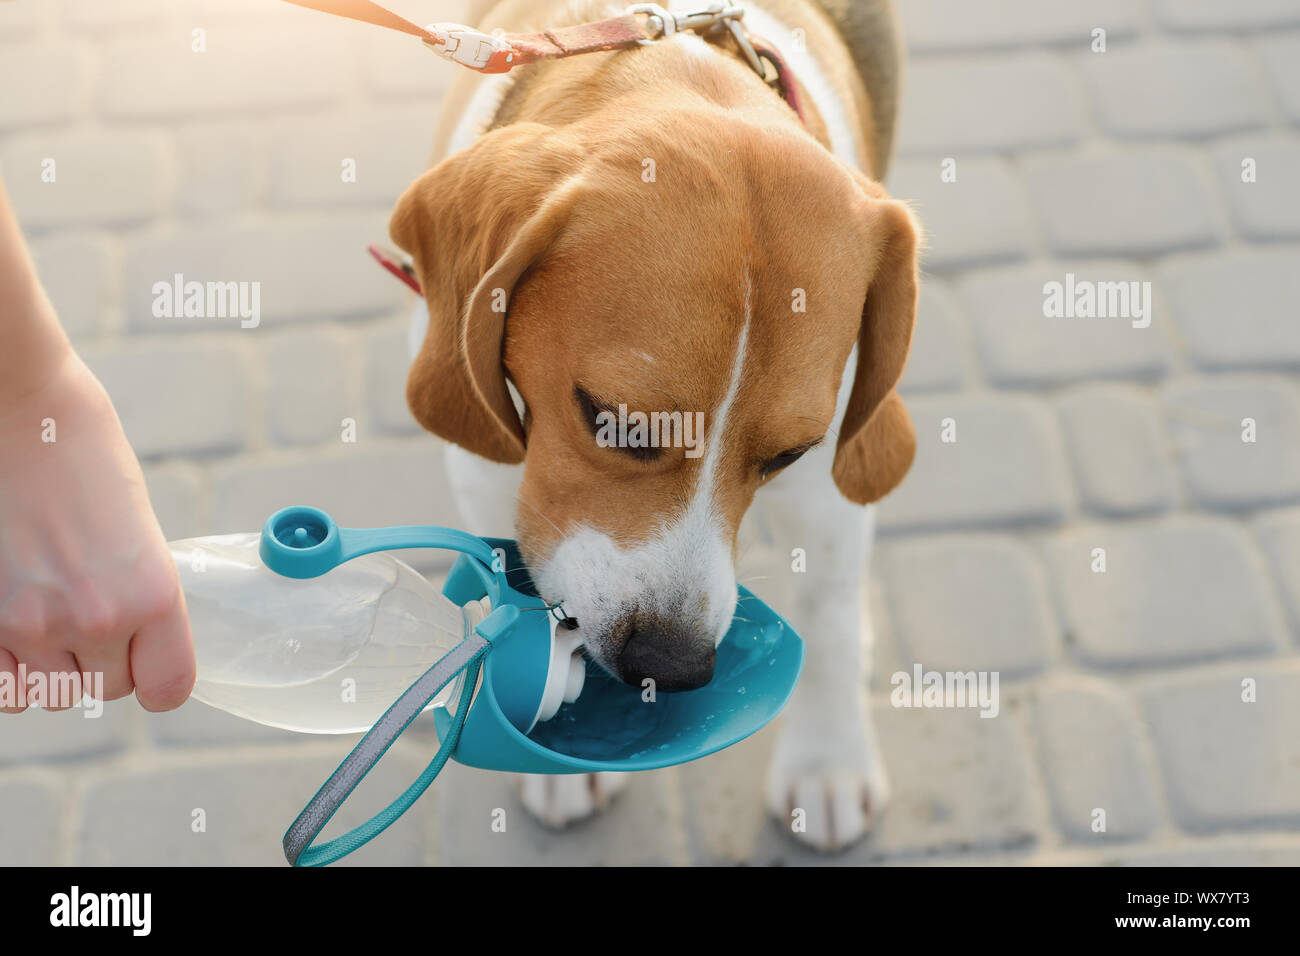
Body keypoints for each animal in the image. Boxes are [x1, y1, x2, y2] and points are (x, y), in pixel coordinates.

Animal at [390, 0, 920, 853]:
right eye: (609, 421)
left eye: (789, 452)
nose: (670, 668)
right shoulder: (491, 457)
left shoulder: (827, 482)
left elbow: (829, 611)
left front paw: (827, 757)